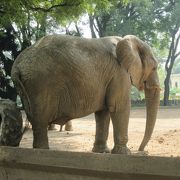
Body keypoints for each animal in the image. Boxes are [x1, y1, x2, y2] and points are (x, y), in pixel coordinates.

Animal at [10, 34, 160, 154]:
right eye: (154, 67)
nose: (142, 151)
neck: (126, 40)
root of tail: (17, 66)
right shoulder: (119, 73)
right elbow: (119, 107)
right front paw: (124, 153)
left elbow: (103, 112)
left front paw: (101, 152)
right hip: (40, 84)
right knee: (40, 120)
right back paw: (43, 151)